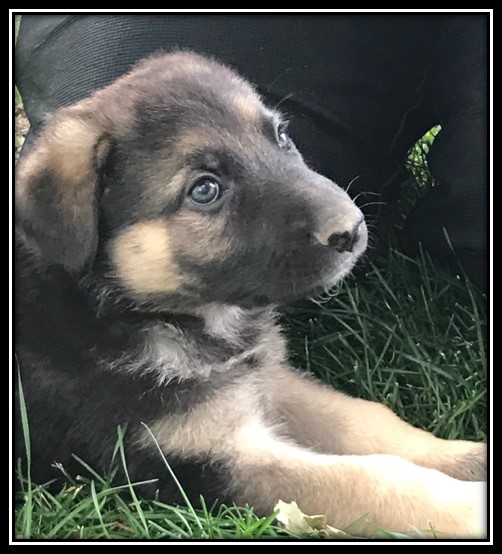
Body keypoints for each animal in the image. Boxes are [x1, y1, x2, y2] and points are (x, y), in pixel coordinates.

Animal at [14, 50, 486, 536]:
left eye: (281, 136)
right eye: (205, 189)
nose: (354, 229)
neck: (135, 310)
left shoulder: (263, 380)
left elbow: (367, 421)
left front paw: (471, 459)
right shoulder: (198, 459)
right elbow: (366, 479)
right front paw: (469, 507)